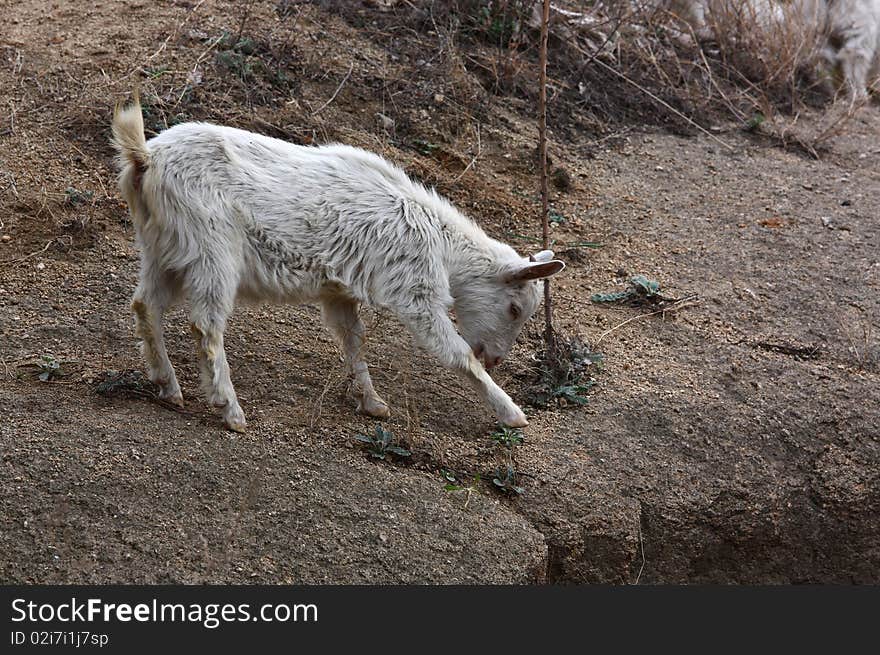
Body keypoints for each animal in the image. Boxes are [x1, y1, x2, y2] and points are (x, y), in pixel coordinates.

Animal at [110, 97, 564, 434]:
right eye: (514, 308)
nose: (495, 359)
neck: (441, 240)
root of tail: (146, 157)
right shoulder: (415, 290)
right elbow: (454, 353)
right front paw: (511, 413)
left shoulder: (339, 293)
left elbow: (352, 340)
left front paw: (372, 401)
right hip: (213, 250)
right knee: (205, 325)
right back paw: (230, 408)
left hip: (162, 247)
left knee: (145, 305)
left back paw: (167, 385)